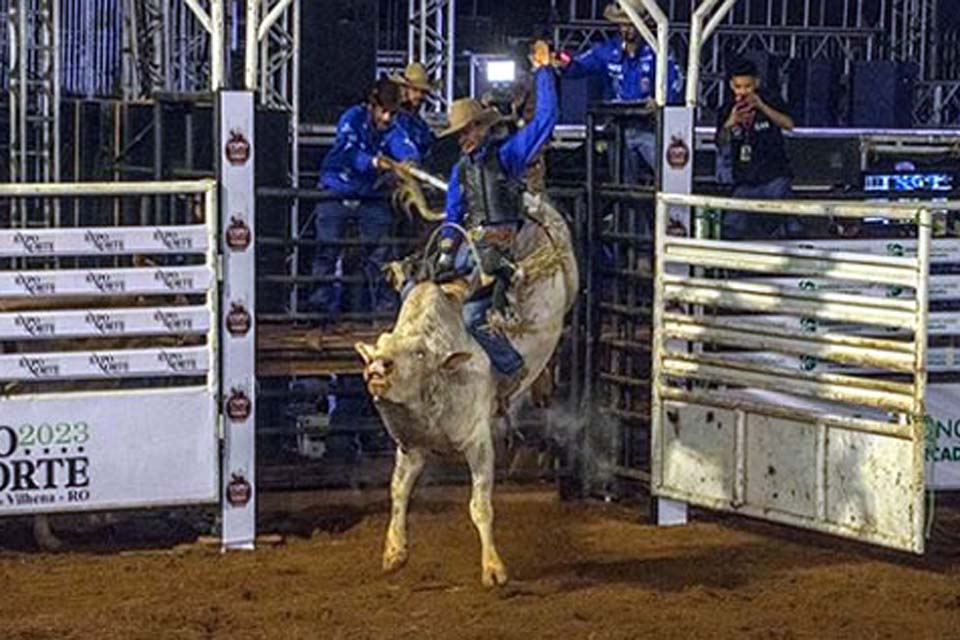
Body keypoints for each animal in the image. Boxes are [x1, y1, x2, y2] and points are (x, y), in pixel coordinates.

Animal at [354, 198, 572, 588]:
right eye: (380, 345)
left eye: (419, 354)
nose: (377, 367)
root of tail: (535, 203)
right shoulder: (412, 446)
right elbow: (398, 491)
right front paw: (394, 553)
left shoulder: (478, 441)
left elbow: (480, 505)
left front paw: (494, 569)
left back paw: (542, 383)